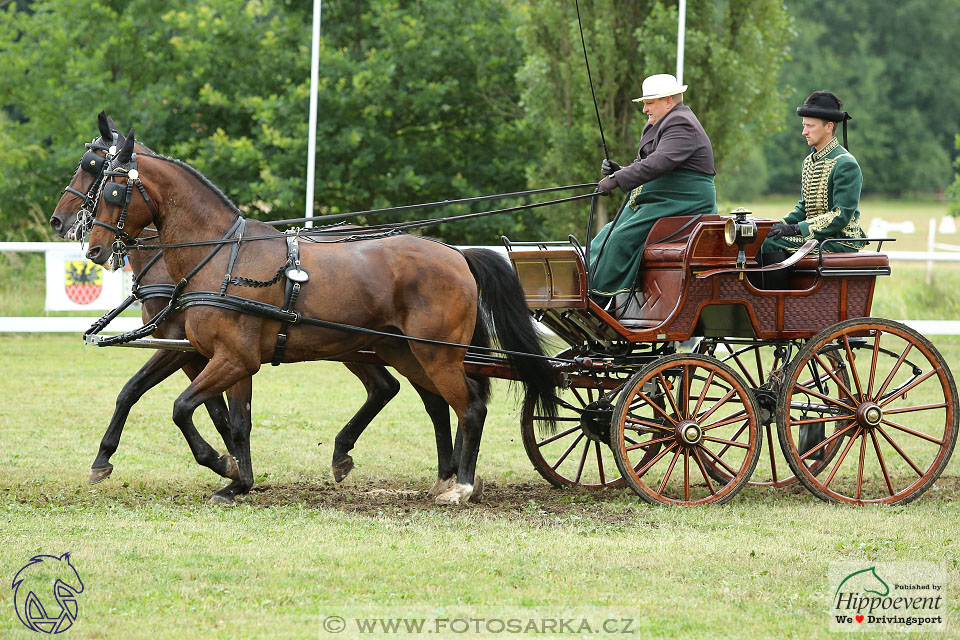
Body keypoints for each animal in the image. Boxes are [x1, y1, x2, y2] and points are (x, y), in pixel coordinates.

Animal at [80, 122, 564, 508]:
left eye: (112, 188)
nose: (92, 248)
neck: (222, 255)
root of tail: (456, 254)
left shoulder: (231, 358)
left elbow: (182, 408)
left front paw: (221, 465)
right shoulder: (229, 359)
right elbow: (235, 423)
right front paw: (238, 481)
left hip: (436, 353)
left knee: (470, 407)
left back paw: (461, 486)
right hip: (407, 352)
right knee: (437, 403)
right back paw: (444, 479)